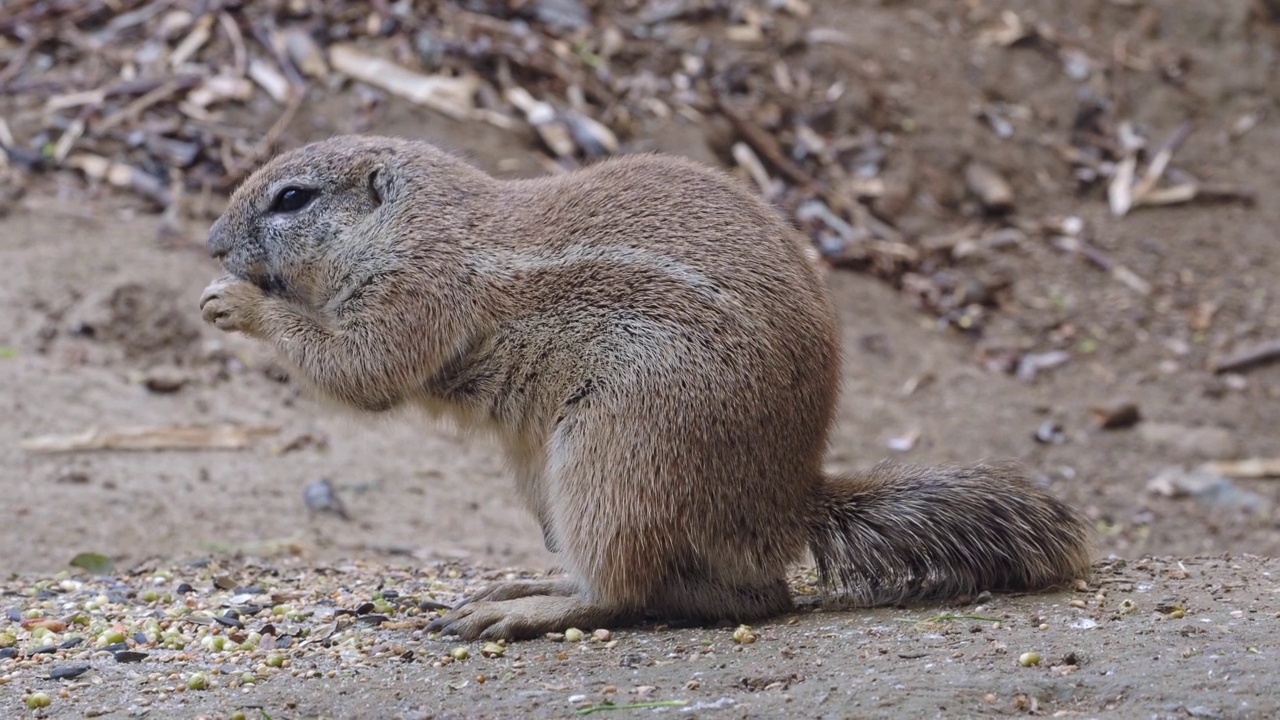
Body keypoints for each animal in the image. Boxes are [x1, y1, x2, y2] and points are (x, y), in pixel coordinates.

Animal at [199, 134, 1090, 638]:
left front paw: (236, 303)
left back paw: (523, 610)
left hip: (616, 450)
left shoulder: (416, 292)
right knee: (717, 592)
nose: (209, 243)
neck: (417, 223)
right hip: (551, 476)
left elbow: (359, 368)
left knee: (627, 592)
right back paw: (531, 580)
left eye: (292, 198)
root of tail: (786, 502)